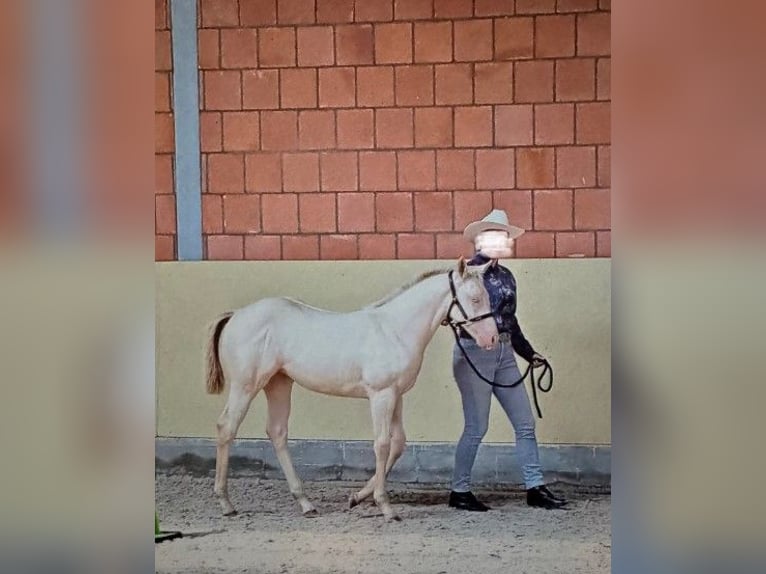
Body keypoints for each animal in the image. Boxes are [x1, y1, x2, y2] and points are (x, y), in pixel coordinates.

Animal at [205, 257, 498, 521]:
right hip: (246, 385)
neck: (394, 330)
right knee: (226, 427)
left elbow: (398, 444)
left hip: (278, 383)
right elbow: (382, 444)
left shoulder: (396, 395)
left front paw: (357, 497)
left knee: (277, 432)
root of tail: (235, 316)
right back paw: (226, 503)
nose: (492, 338)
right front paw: (385, 507)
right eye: (474, 298)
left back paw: (305, 503)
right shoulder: (381, 395)